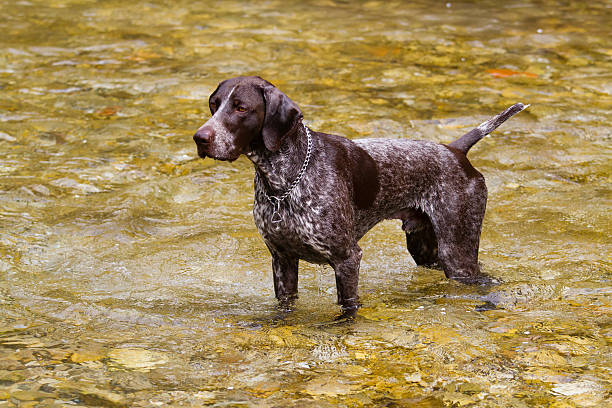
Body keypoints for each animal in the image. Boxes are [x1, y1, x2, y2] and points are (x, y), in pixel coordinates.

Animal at [192, 75, 524, 312]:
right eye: (214, 104)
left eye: (241, 107)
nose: (199, 138)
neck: (283, 180)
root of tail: (455, 150)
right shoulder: (282, 261)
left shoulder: (347, 259)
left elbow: (348, 308)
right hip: (425, 249)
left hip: (457, 254)